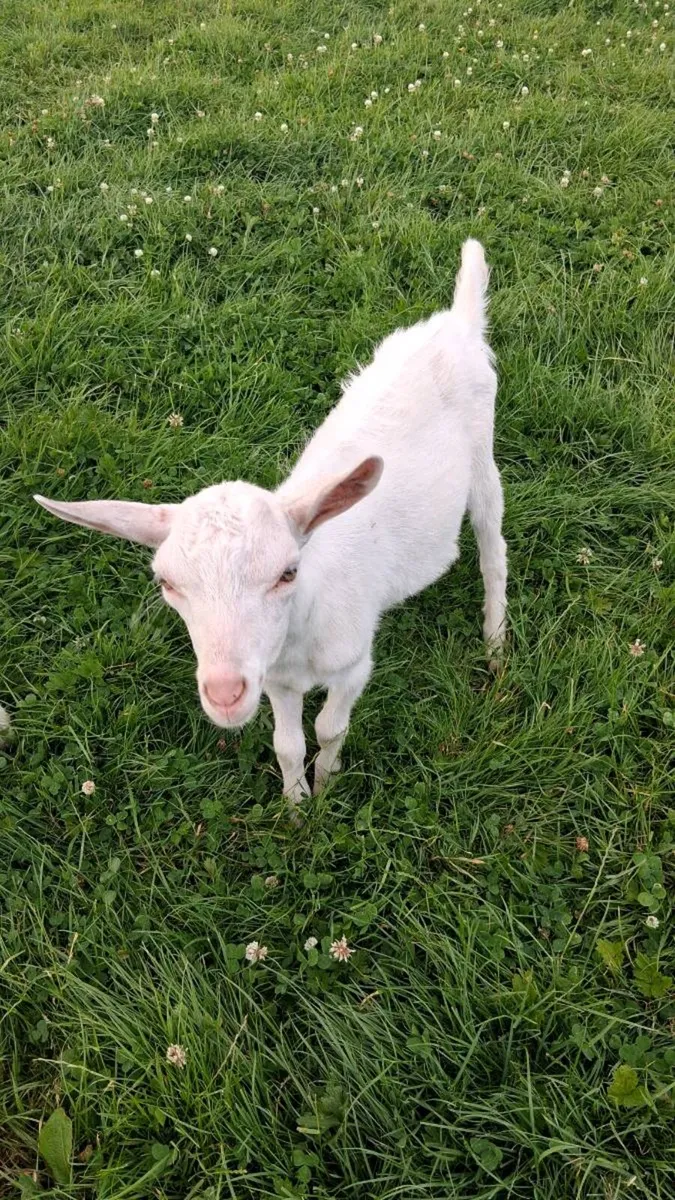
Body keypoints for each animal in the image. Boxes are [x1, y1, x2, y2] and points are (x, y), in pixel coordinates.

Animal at [35, 239, 507, 809]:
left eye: (287, 573)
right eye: (167, 584)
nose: (225, 693)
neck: (302, 628)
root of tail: (457, 322)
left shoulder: (355, 664)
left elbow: (329, 728)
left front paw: (326, 786)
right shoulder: (276, 678)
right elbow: (287, 743)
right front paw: (297, 805)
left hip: (483, 457)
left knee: (493, 549)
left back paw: (495, 643)